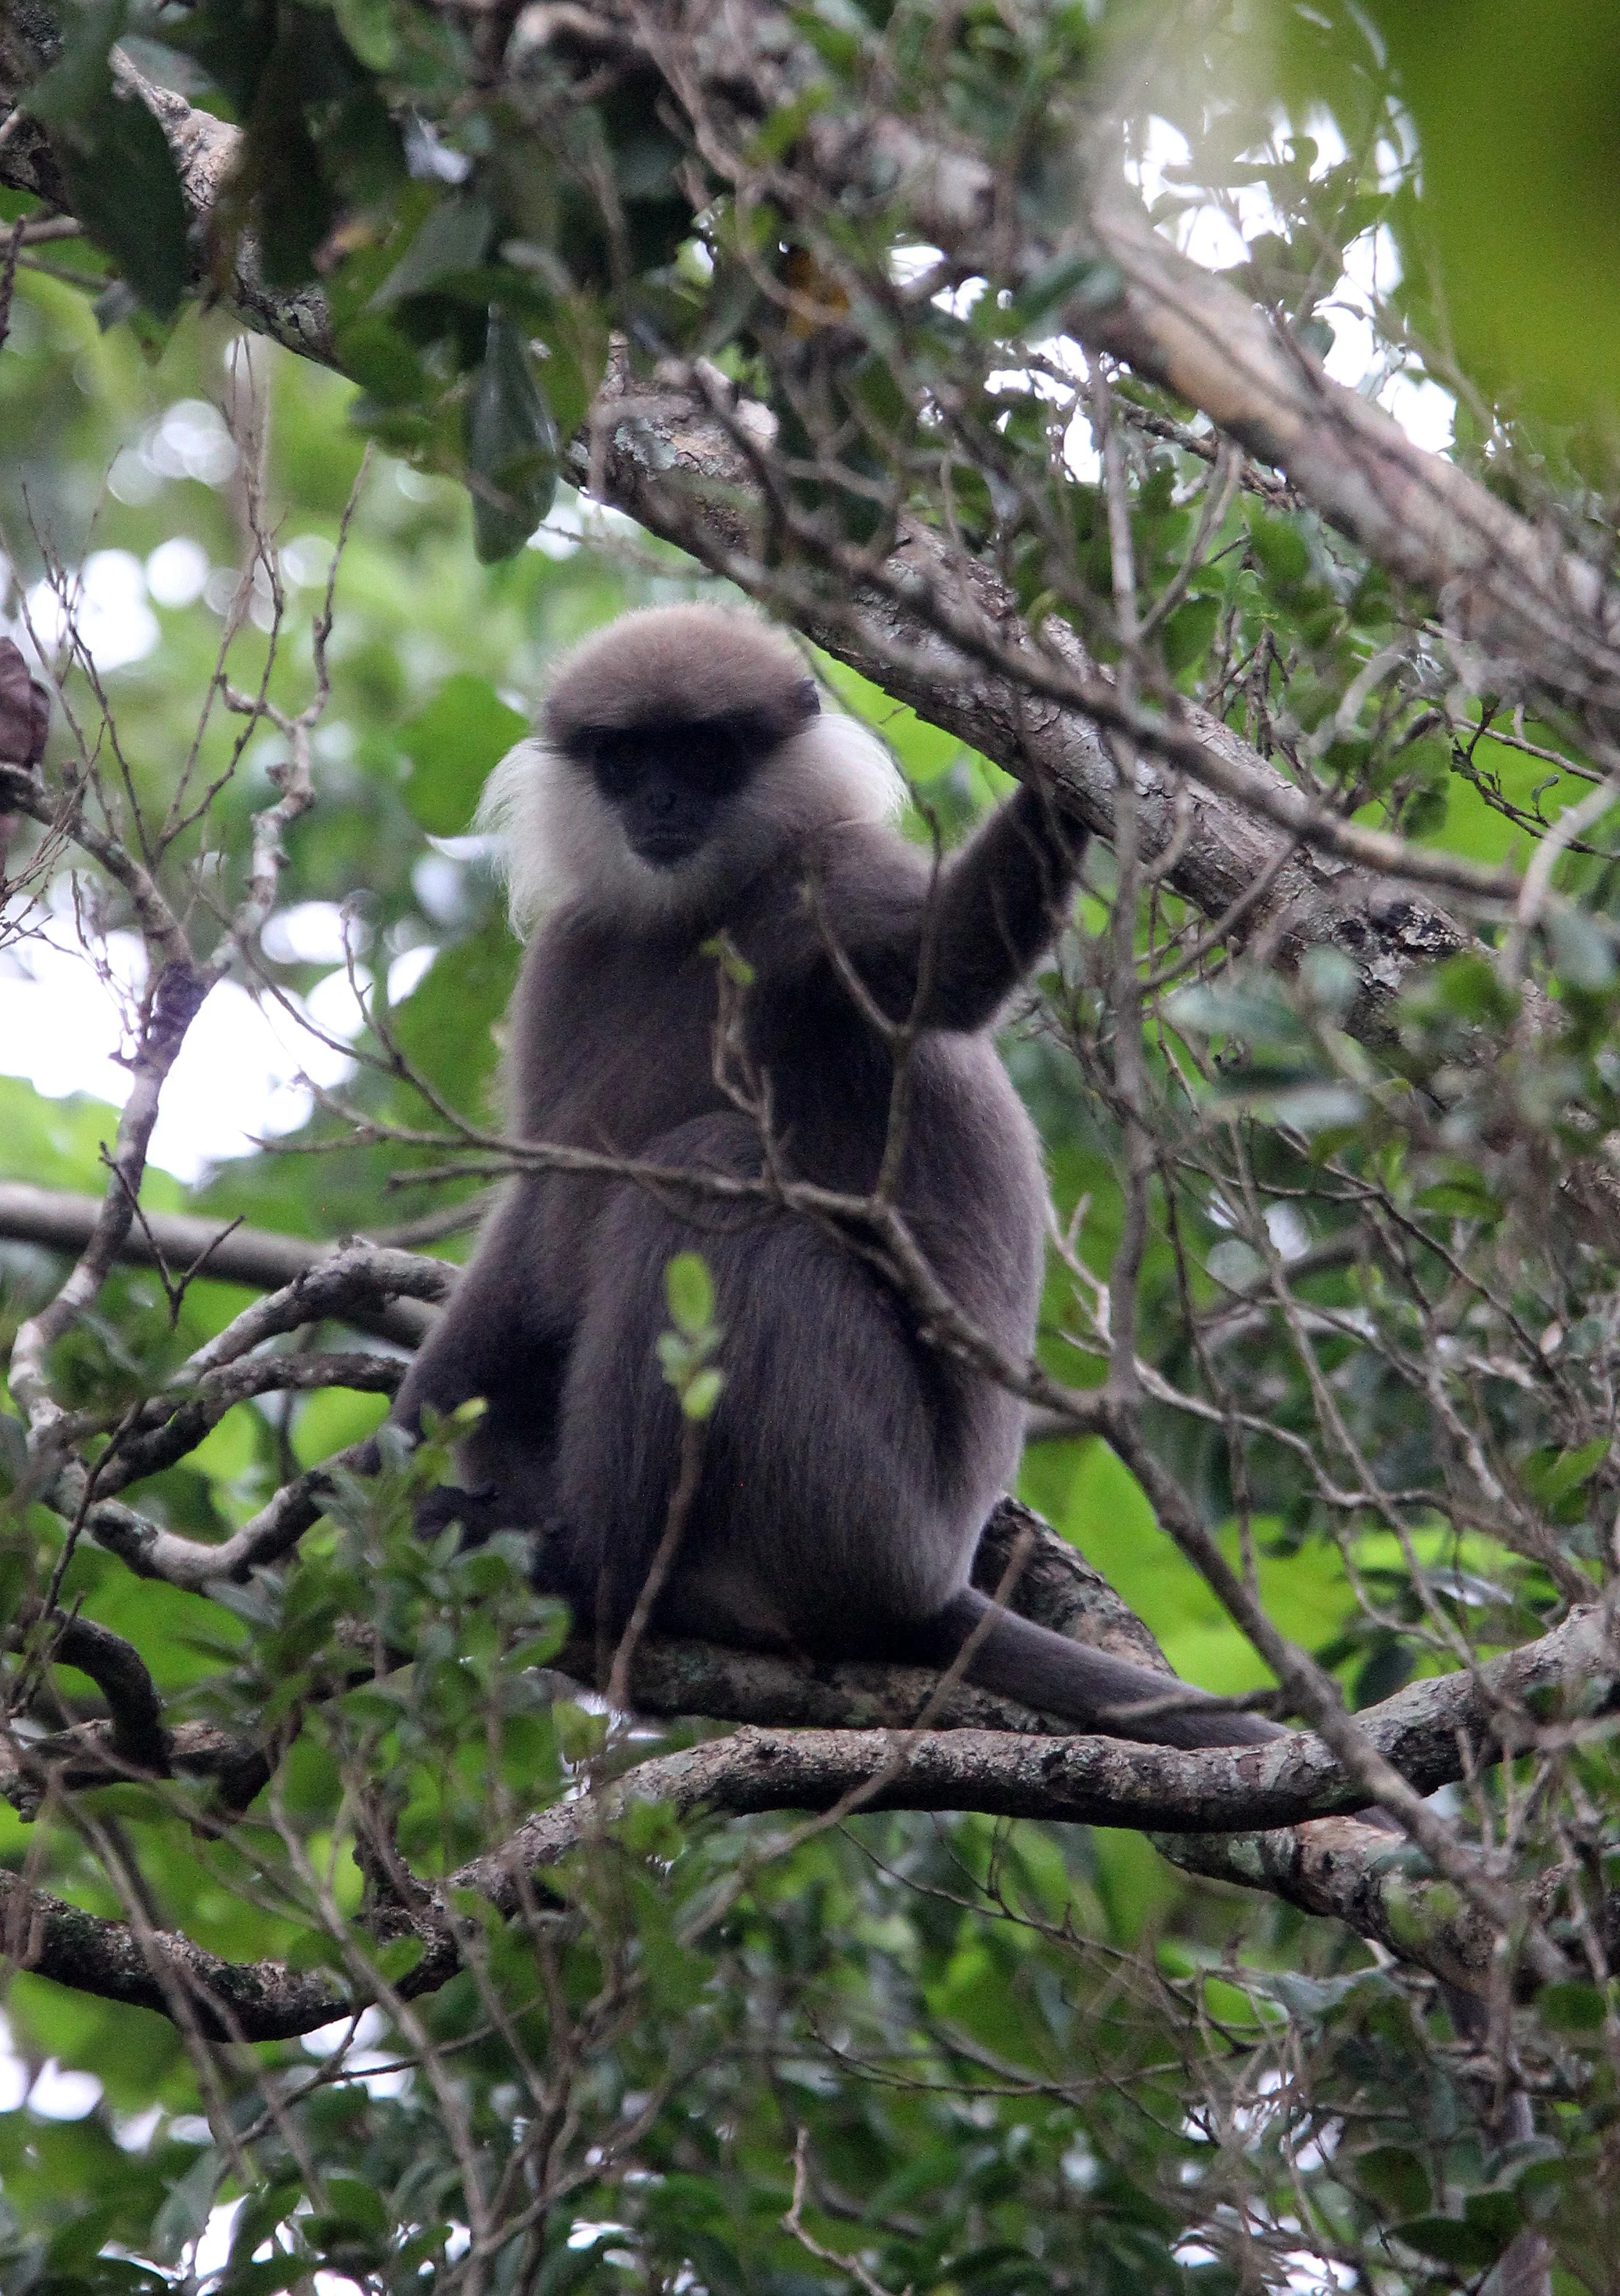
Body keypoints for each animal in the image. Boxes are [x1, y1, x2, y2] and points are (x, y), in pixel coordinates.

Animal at [391, 604, 1278, 1752]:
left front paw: (1096, 717)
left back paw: (595, 1568)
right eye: (627, 759)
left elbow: (951, 963)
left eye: (705, 753)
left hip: (852, 1501)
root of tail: (930, 1583)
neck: (701, 916)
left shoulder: (829, 894)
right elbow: (536, 1202)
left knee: (709, 1169)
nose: (663, 804)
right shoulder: (572, 958)